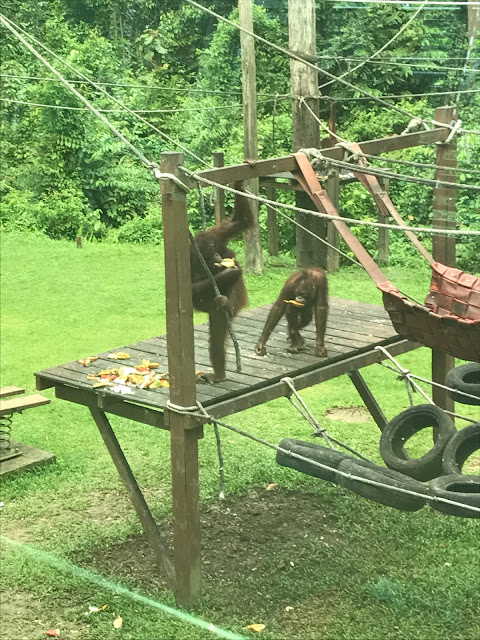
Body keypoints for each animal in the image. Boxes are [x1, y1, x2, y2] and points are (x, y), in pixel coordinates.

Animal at [190, 182, 254, 382]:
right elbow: (189, 289)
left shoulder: (217, 234)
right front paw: (227, 272)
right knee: (217, 338)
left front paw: (239, 184)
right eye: (210, 253)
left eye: (214, 249)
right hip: (215, 311)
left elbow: (241, 222)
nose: (218, 256)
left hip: (234, 303)